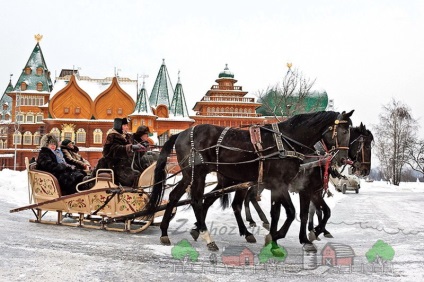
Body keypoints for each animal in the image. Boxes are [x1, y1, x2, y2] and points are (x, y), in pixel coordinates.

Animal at [147, 109, 352, 251]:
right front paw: (280, 236)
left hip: (194, 176)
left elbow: (279, 212)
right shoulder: (283, 185)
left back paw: (165, 232)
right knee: (197, 200)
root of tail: (181, 133)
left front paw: (275, 236)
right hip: (197, 174)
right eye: (343, 131)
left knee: (175, 196)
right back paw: (207, 237)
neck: (287, 142)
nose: (343, 158)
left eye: (350, 132)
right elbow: (293, 212)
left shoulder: (282, 186)